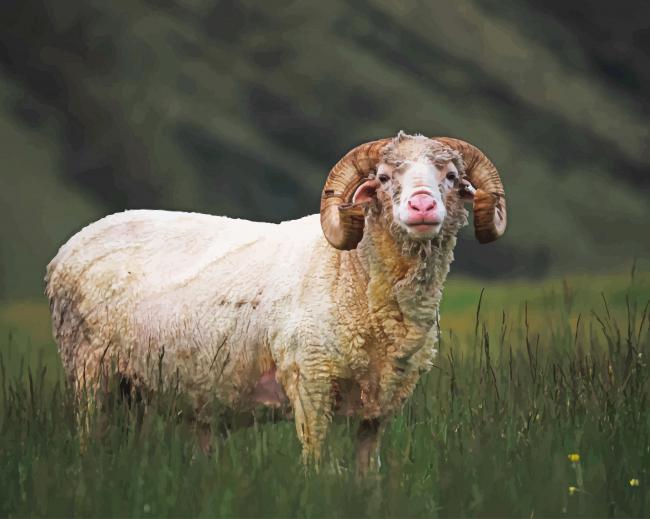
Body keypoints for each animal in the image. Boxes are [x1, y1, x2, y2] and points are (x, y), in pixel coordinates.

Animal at [45, 131, 507, 471]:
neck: (353, 272)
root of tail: (68, 247)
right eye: (383, 177)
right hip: (89, 372)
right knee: (89, 438)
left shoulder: (378, 408)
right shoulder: (311, 383)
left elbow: (367, 474)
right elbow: (317, 466)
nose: (422, 205)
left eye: (451, 177)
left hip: (134, 387)